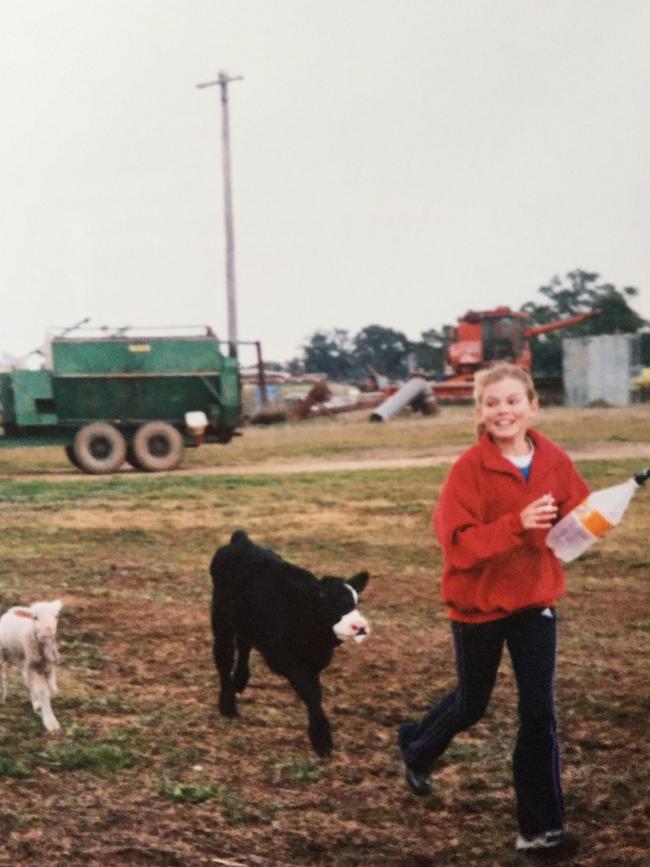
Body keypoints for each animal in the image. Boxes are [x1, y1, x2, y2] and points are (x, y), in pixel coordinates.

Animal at [0, 600, 62, 736]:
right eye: (35, 617)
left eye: (55, 616)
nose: (47, 633)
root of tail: (11, 611)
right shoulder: (32, 666)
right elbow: (43, 691)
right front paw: (51, 723)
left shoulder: (47, 665)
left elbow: (50, 688)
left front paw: (39, 705)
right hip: (4, 655)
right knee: (3, 675)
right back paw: (2, 695)